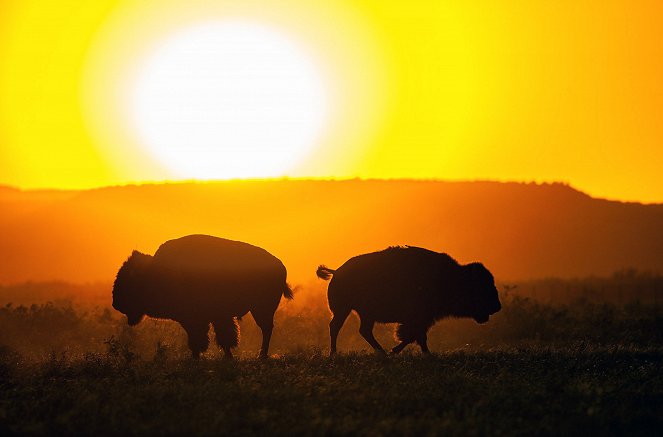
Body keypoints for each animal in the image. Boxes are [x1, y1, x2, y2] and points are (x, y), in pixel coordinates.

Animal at [114, 235, 294, 358]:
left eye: (130, 280)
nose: (116, 303)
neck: (156, 272)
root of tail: (280, 265)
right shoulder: (202, 319)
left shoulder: (204, 318)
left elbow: (215, 337)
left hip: (261, 309)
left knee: (266, 329)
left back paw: (261, 356)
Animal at [320, 245, 500, 354]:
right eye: (481, 287)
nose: (497, 306)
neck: (452, 277)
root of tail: (336, 271)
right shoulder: (419, 318)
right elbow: (413, 335)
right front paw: (397, 351)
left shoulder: (424, 319)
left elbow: (416, 336)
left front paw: (399, 351)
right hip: (344, 310)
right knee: (337, 327)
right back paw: (334, 354)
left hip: (361, 314)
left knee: (362, 330)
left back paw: (381, 353)